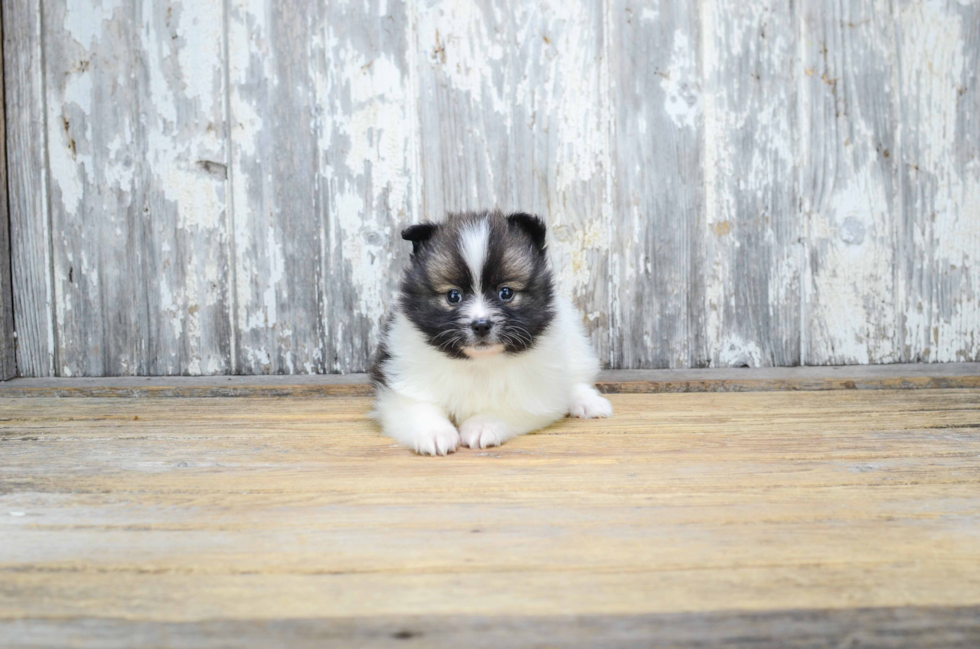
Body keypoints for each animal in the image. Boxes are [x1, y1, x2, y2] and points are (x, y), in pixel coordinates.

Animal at [370, 210, 608, 454]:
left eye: (506, 293)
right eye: (453, 296)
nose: (481, 325)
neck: (479, 363)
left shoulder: (536, 394)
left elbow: (505, 406)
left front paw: (481, 426)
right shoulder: (400, 382)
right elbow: (416, 406)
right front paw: (435, 433)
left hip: (574, 343)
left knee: (577, 378)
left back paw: (588, 402)